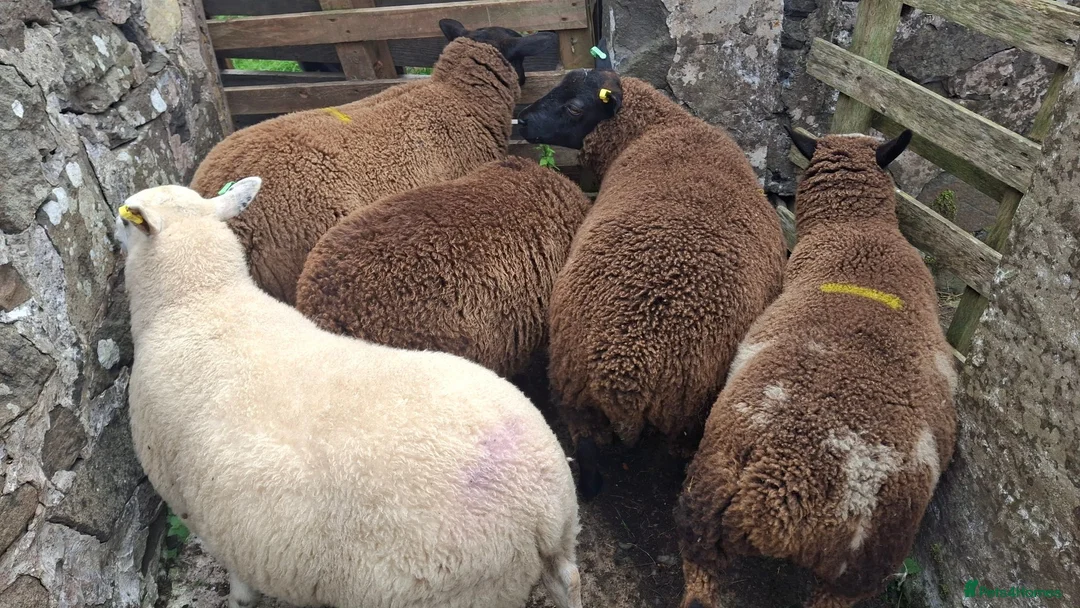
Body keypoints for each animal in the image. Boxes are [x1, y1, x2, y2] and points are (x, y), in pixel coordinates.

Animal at [115, 178, 582, 608]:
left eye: (125, 218)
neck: (199, 299)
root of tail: (541, 503)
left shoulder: (196, 506)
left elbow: (240, 583)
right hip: (562, 544)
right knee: (569, 581)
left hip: (458, 593)